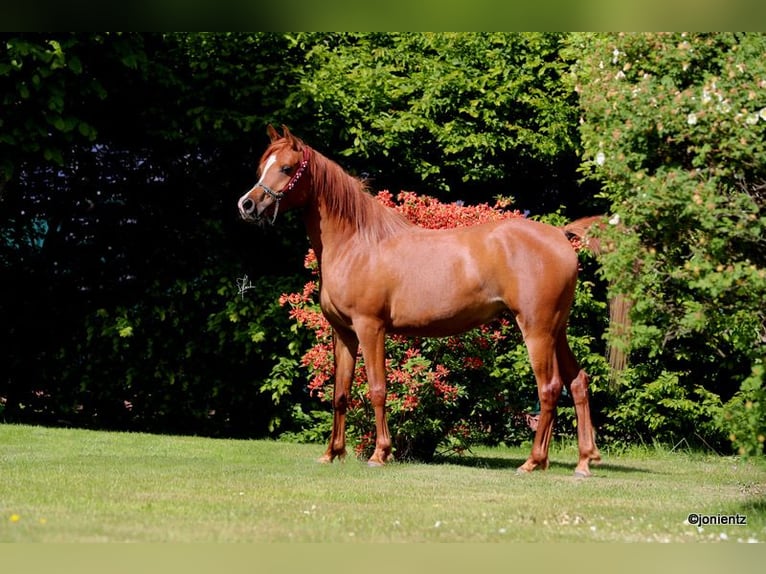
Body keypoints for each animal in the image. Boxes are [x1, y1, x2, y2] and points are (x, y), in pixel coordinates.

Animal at [238, 125, 602, 477]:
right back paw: (584, 461)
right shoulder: (343, 333)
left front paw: (380, 454)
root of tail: (560, 235)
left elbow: (377, 389)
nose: (247, 205)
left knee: (549, 388)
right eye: (262, 166)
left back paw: (532, 461)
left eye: (286, 168)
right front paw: (332, 454)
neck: (357, 244)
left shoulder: (370, 328)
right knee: (577, 382)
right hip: (556, 330)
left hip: (537, 329)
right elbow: (340, 393)